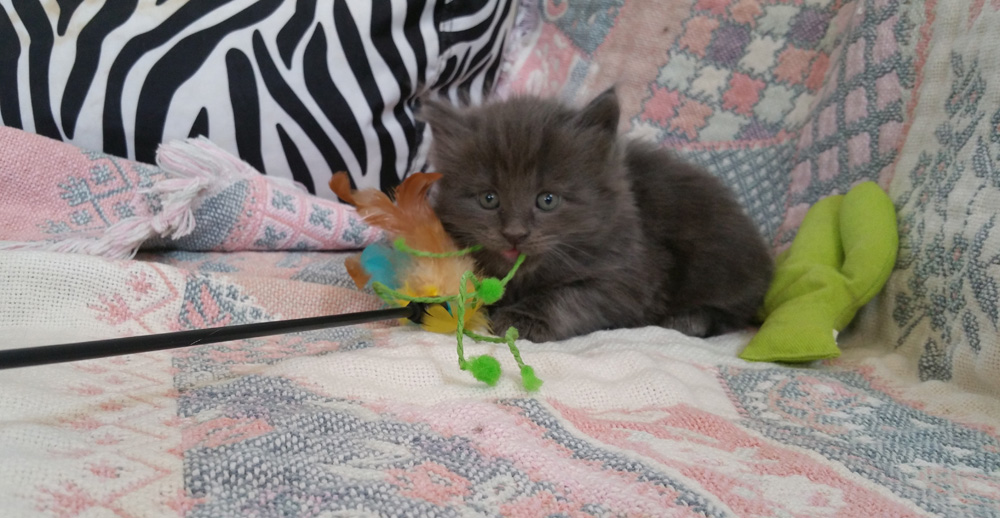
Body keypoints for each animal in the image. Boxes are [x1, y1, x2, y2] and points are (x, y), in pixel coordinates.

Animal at [418, 90, 768, 342]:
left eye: (547, 200)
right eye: (489, 199)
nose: (514, 233)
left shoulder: (633, 274)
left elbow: (571, 296)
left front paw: (523, 318)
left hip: (716, 259)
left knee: (735, 310)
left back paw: (690, 320)